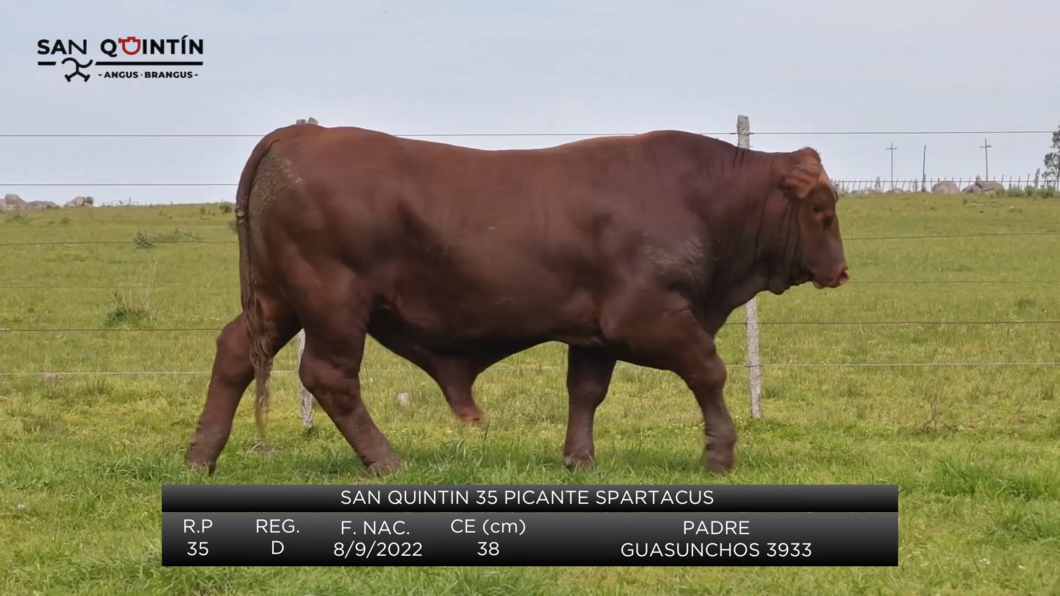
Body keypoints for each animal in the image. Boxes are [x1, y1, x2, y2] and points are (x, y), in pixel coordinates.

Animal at [180, 123, 843, 475]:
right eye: (820, 208)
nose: (841, 269)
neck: (696, 199)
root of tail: (302, 130)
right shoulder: (651, 316)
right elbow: (709, 370)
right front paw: (720, 452)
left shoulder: (594, 331)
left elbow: (586, 391)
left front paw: (579, 460)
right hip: (332, 301)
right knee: (330, 377)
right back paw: (387, 462)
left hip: (278, 299)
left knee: (235, 353)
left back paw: (200, 457)